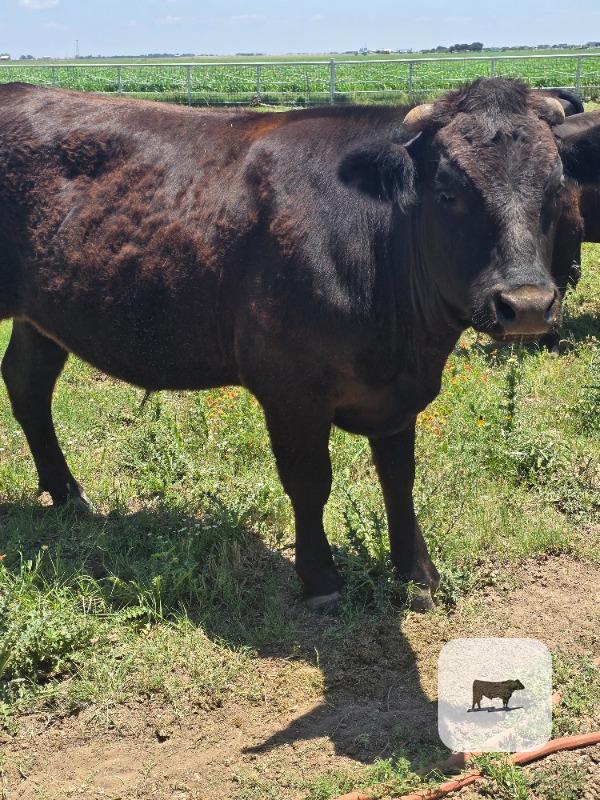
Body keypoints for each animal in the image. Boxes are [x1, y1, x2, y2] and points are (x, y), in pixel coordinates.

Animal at [0, 78, 595, 613]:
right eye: (448, 194)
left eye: (554, 192)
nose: (527, 304)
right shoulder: (289, 390)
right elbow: (309, 482)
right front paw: (321, 579)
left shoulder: (397, 396)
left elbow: (399, 479)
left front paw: (418, 574)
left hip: (43, 315)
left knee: (28, 380)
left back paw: (67, 493)